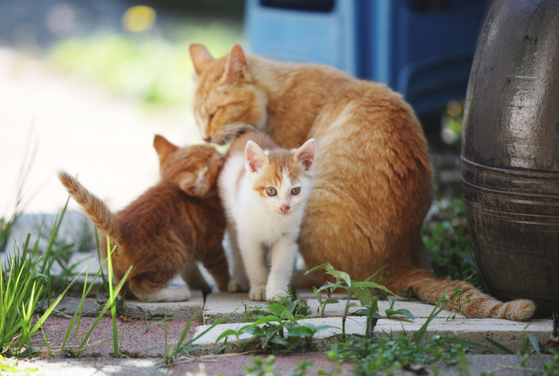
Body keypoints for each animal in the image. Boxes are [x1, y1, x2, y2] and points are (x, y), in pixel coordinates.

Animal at [58, 135, 229, 302]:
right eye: (217, 159)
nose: (223, 154)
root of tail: (121, 233)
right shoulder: (211, 245)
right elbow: (221, 268)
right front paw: (228, 288)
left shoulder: (189, 247)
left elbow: (191, 271)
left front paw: (202, 286)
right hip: (174, 252)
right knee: (140, 285)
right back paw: (176, 294)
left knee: (123, 289)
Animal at [218, 131, 316, 302]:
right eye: (271, 191)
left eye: (295, 190)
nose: (285, 207)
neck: (271, 215)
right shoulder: (248, 238)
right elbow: (254, 264)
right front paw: (259, 288)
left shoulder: (287, 237)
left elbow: (280, 266)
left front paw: (277, 292)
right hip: (231, 215)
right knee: (236, 251)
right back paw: (239, 279)